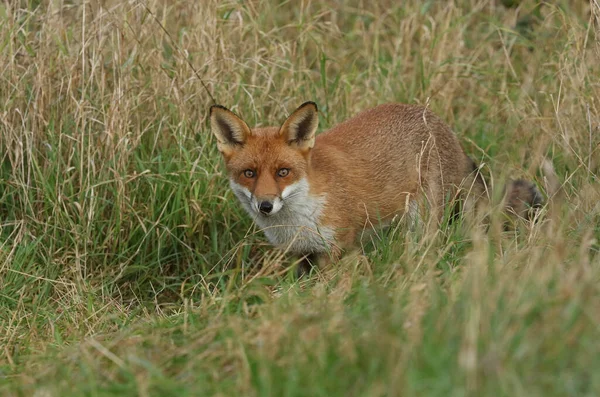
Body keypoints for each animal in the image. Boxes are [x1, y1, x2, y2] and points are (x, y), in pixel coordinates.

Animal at [211, 101, 544, 270]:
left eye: (283, 172)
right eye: (249, 173)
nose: (265, 205)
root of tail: (438, 121)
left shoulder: (336, 249)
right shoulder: (299, 254)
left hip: (424, 221)